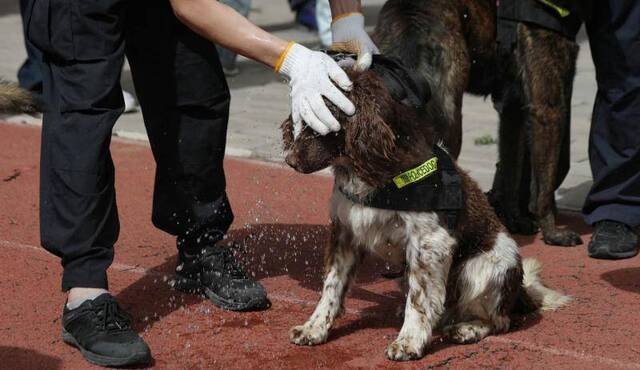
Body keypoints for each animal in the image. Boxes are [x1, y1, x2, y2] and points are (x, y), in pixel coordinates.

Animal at [282, 61, 568, 362]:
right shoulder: (345, 233)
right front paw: (314, 328)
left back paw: (467, 329)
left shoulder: (430, 242)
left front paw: (409, 342)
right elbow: (331, 288)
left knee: (499, 321)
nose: (290, 160)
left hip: (484, 267)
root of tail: (521, 292)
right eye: (300, 116)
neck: (368, 171)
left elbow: (419, 300)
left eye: (326, 121)